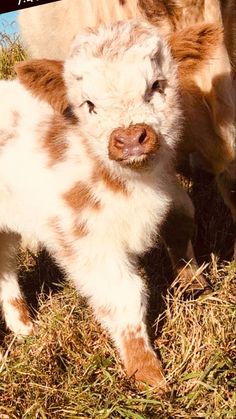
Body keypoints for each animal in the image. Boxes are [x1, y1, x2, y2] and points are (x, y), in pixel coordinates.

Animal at [0, 21, 220, 392]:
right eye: (88, 104)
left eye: (156, 86)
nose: (130, 139)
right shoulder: (85, 239)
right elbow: (123, 296)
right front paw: (149, 377)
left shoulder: (167, 182)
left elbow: (182, 217)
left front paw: (192, 282)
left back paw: (26, 328)